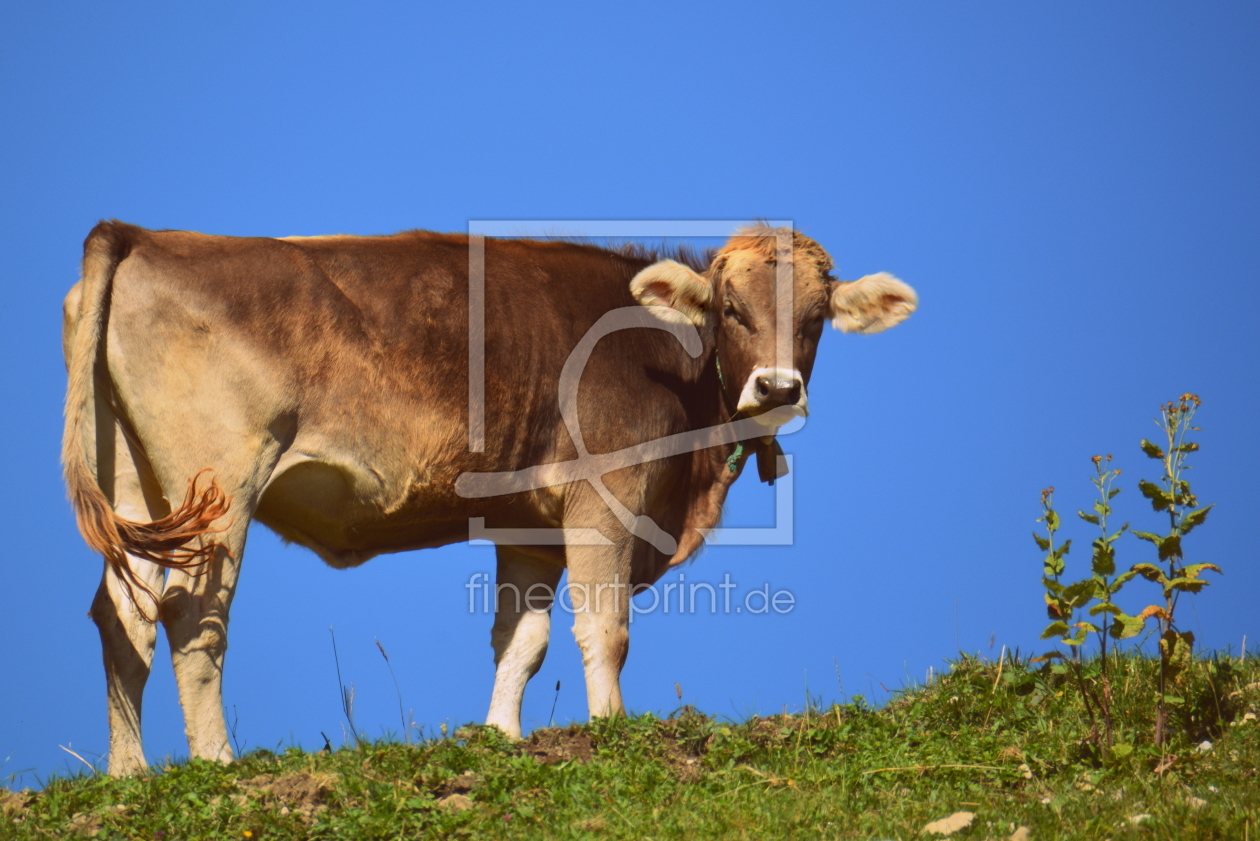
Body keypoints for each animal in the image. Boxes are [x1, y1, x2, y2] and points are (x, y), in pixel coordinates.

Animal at [61, 221, 917, 776]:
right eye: (733, 310)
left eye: (815, 319)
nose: (777, 388)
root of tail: (145, 232)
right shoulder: (605, 499)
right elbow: (603, 628)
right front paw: (610, 729)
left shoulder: (527, 526)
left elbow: (521, 640)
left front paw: (501, 736)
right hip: (220, 483)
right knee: (192, 617)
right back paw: (217, 763)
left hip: (138, 487)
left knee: (123, 617)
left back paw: (129, 774)